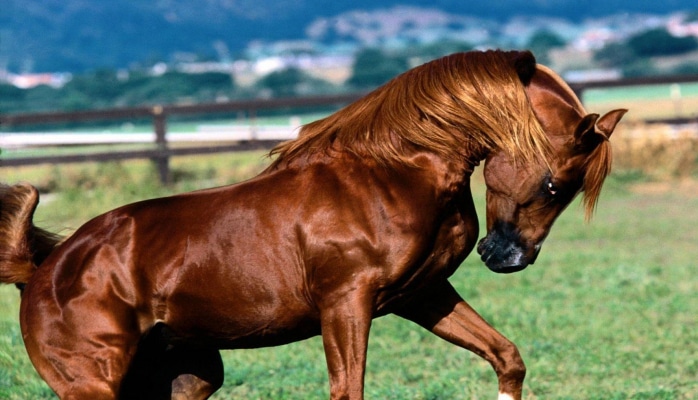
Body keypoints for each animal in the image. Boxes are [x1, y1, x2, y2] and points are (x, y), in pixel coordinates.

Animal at [0, 50, 620, 400]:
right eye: (555, 185)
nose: (508, 257)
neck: (391, 173)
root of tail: (42, 271)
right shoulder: (345, 304)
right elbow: (348, 390)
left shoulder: (421, 294)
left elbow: (506, 357)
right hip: (94, 384)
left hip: (188, 377)